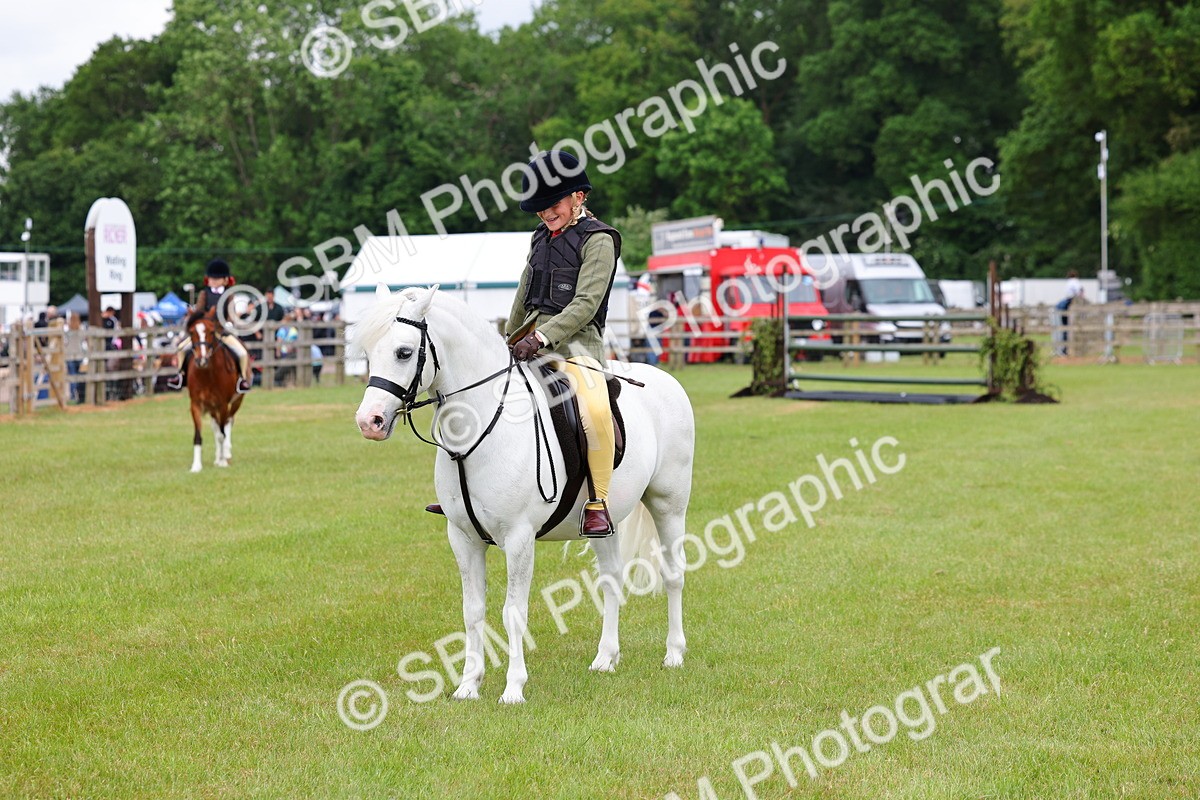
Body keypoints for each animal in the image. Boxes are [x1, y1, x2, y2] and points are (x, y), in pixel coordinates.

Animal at [185, 308, 244, 472]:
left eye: (212, 331)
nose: (201, 360)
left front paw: (223, 461)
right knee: (216, 427)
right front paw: (196, 466)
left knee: (228, 423)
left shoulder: (222, 405)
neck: (206, 373)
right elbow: (199, 435)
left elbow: (222, 434)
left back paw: (226, 454)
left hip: (236, 402)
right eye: (191, 332)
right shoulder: (196, 405)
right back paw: (218, 457)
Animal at [353, 285, 695, 704]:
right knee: (611, 577)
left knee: (673, 573)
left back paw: (674, 653)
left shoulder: (518, 538)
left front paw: (513, 688)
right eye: (369, 352)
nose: (369, 422)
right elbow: (473, 610)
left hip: (669, 505)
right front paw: (468, 685)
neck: (481, 425)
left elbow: (513, 612)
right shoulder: (463, 538)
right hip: (604, 519)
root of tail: (665, 379)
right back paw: (605, 658)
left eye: (403, 352)